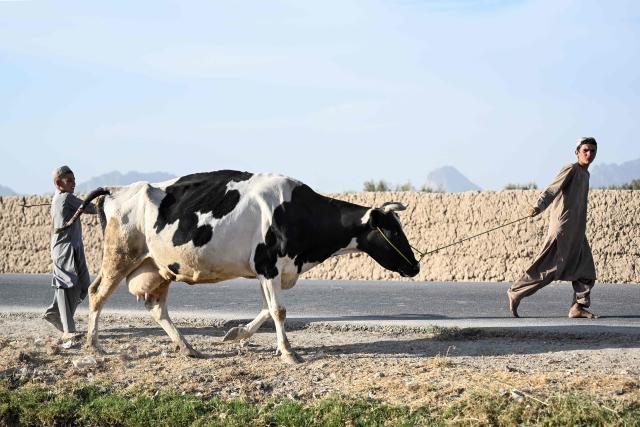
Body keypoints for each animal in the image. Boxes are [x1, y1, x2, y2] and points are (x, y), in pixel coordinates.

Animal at [59, 170, 420, 363]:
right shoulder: (269, 264)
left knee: (156, 308)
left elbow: (268, 310)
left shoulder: (267, 269)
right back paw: (94, 345)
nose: (415, 267)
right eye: (393, 231)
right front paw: (288, 353)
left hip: (157, 267)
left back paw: (187, 347)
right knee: (97, 293)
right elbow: (278, 311)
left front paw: (237, 334)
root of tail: (118, 190)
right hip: (120, 254)